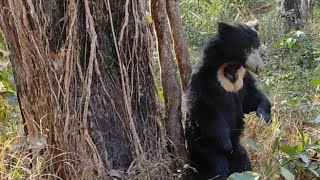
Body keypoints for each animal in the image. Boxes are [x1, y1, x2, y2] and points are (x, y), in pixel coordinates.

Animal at [184, 20, 272, 179]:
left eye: (257, 48)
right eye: (247, 49)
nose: (259, 68)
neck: (231, 66)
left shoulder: (243, 79)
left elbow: (252, 97)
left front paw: (264, 118)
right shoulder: (205, 79)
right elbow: (202, 107)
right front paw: (226, 144)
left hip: (238, 149)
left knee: (243, 164)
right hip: (202, 144)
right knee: (216, 168)